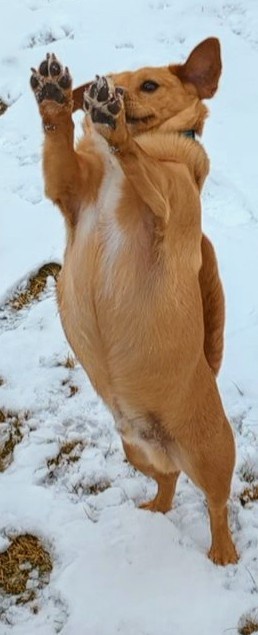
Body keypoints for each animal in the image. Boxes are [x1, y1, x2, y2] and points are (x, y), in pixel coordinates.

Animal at [30, 38, 238, 568]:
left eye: (149, 85)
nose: (112, 94)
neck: (109, 170)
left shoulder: (165, 199)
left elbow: (140, 163)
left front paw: (118, 130)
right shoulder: (65, 187)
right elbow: (59, 142)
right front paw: (54, 98)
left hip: (211, 457)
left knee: (216, 504)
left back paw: (223, 551)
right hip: (135, 450)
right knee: (168, 480)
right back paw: (155, 510)